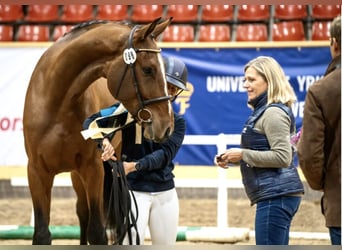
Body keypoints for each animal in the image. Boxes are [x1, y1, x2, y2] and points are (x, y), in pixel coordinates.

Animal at [22, 17, 174, 244]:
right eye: (148, 69)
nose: (167, 125)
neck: (57, 103)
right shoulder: (37, 172)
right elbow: (41, 232)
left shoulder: (93, 169)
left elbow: (97, 231)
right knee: (82, 213)